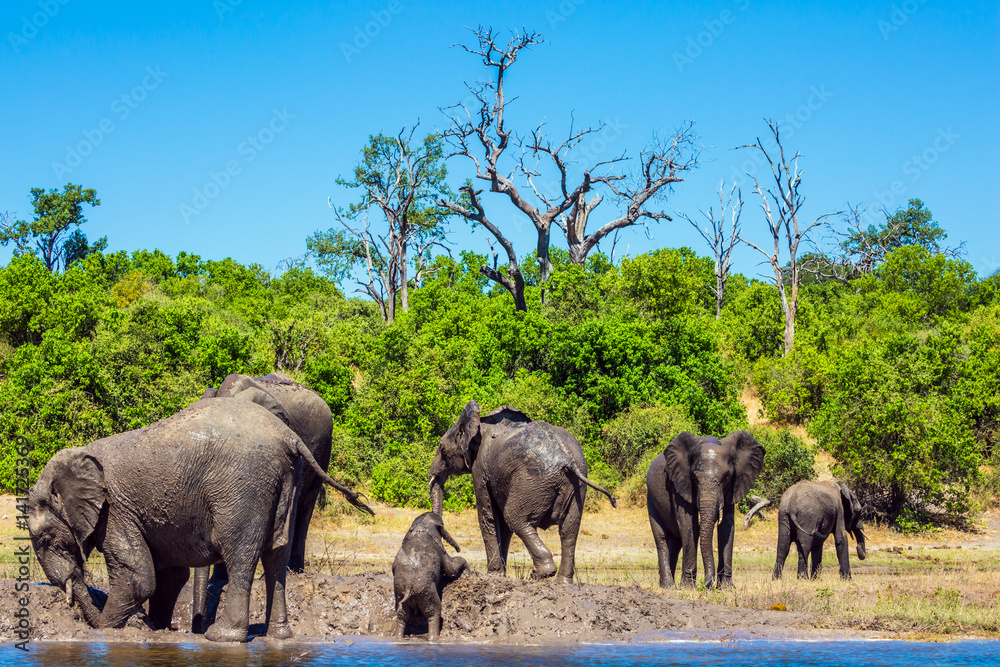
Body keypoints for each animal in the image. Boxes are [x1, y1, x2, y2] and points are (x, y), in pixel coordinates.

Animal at [27, 396, 370, 640]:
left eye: (44, 539)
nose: (82, 616)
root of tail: (289, 436)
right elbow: (169, 575)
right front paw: (153, 626)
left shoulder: (116, 510)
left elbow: (137, 576)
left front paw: (110, 630)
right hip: (288, 479)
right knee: (275, 555)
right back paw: (278, 636)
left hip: (242, 487)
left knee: (241, 555)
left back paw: (222, 637)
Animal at [392, 512, 466, 640]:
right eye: (442, 526)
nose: (459, 549)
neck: (422, 524)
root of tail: (409, 588)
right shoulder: (441, 551)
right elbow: (450, 568)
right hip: (426, 592)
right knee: (433, 612)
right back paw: (434, 638)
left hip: (400, 592)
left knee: (402, 615)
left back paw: (398, 637)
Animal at [430, 402, 616, 584]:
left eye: (441, 448)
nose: (456, 550)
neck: (479, 423)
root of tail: (567, 458)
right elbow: (502, 525)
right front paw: (501, 574)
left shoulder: (480, 468)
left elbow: (488, 516)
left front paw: (494, 575)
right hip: (576, 484)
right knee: (569, 529)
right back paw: (562, 583)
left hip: (532, 481)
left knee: (515, 518)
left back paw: (539, 574)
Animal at [644, 430, 760, 588]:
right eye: (694, 477)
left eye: (727, 477)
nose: (706, 584)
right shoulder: (679, 483)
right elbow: (689, 524)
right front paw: (688, 587)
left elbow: (727, 526)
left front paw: (727, 588)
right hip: (651, 498)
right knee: (661, 537)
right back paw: (668, 585)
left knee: (676, 542)